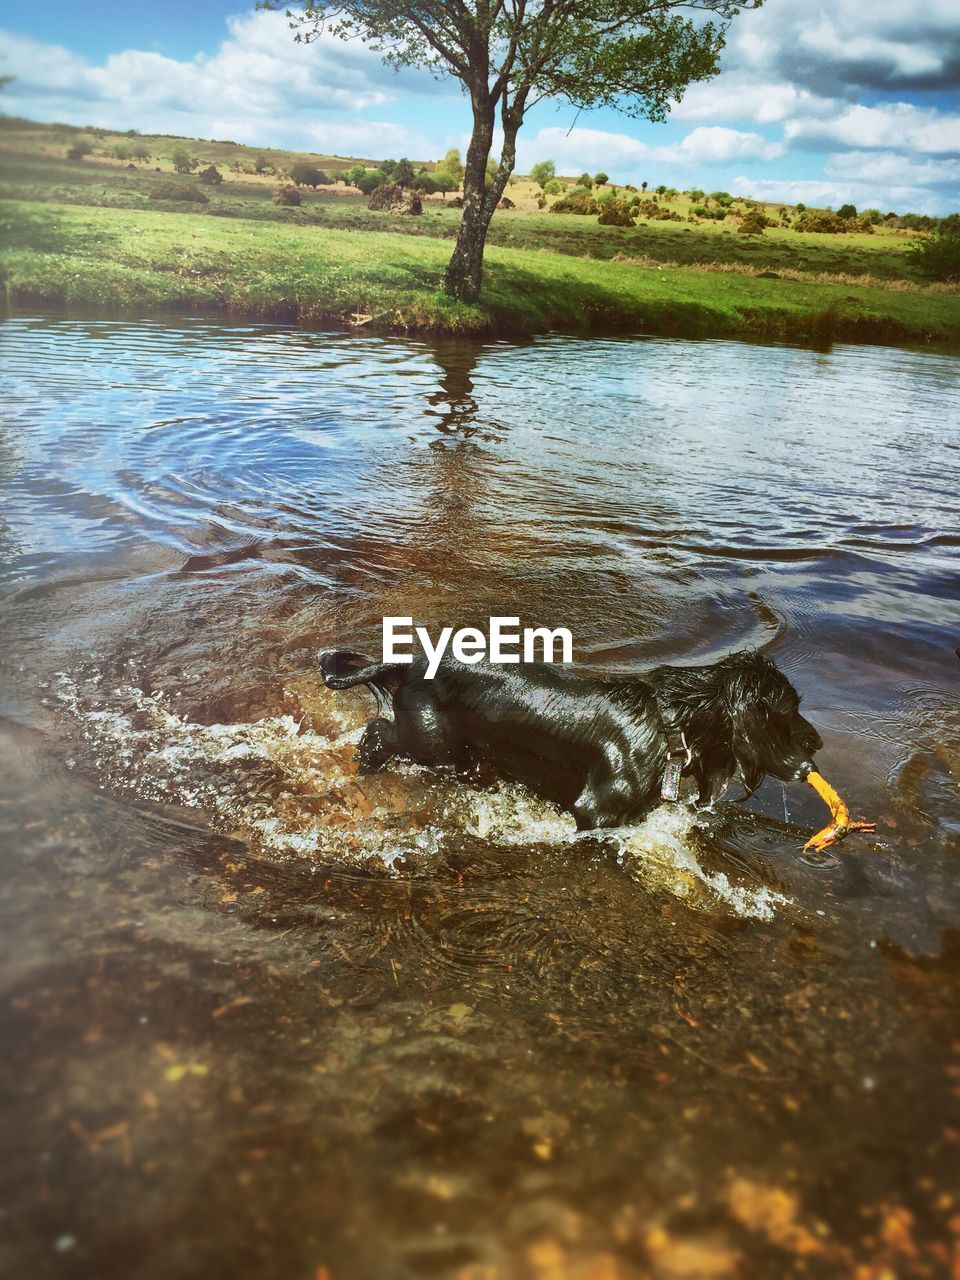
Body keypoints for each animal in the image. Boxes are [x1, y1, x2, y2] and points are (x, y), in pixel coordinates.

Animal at [317, 650, 829, 829]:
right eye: (790, 711)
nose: (819, 744)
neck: (667, 720)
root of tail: (409, 660)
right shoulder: (596, 810)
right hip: (431, 742)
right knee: (380, 733)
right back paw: (364, 761)